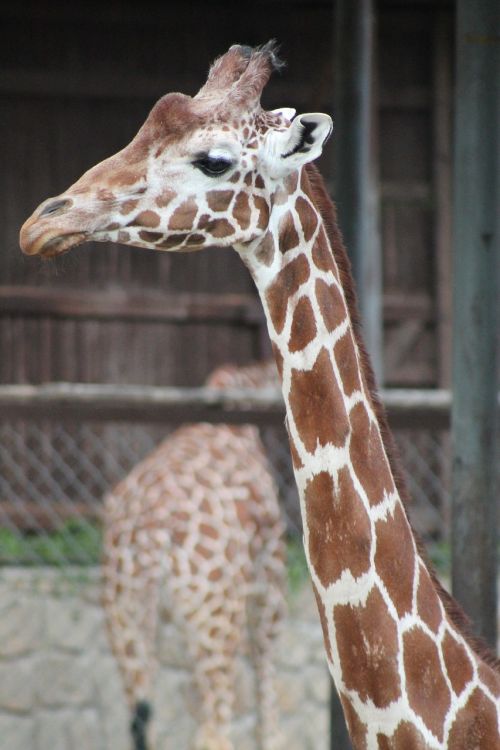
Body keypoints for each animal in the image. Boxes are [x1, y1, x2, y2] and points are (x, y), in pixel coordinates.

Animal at [102, 360, 286, 750]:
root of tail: (151, 536)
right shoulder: (269, 568)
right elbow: (265, 663)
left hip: (126, 621)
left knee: (144, 721)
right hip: (217, 616)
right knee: (214, 728)